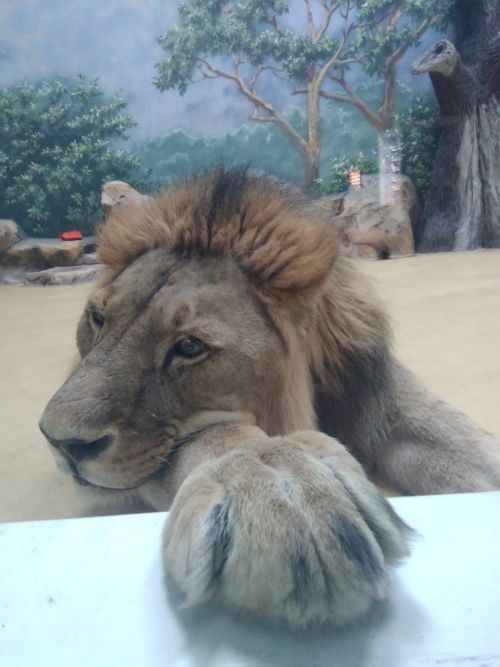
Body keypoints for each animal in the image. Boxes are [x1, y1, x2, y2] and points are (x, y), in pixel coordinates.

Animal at [39, 168, 500, 628]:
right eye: (97, 318)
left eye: (189, 347)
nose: (60, 442)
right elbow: (217, 438)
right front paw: (279, 485)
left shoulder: (382, 397)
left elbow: (460, 442)